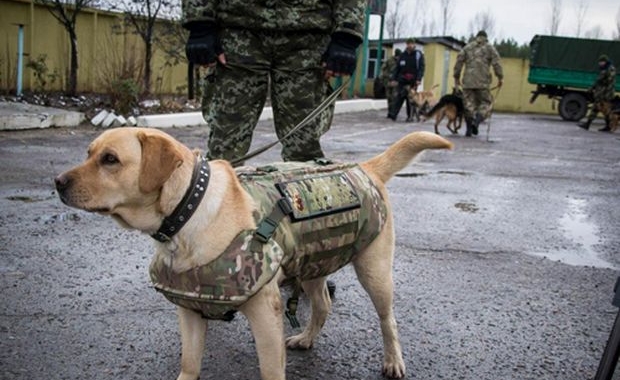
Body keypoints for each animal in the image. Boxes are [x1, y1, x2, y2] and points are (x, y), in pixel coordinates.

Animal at [55, 128, 452, 380]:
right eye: (88, 153)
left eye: (110, 159)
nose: (58, 182)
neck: (189, 209)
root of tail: (363, 167)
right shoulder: (190, 312)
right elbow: (190, 363)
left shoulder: (265, 311)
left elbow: (270, 369)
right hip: (312, 263)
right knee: (322, 304)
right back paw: (307, 338)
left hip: (375, 272)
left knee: (388, 320)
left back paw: (393, 360)